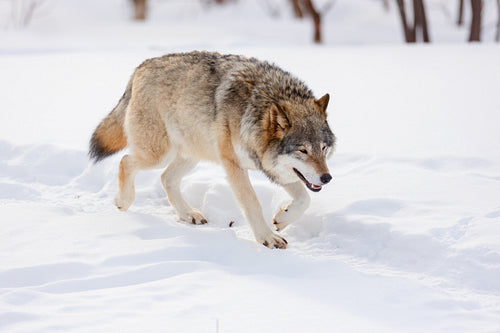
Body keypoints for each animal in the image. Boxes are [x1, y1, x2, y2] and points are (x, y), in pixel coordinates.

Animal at [89, 50, 336, 248]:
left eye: (323, 148)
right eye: (303, 150)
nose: (327, 178)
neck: (255, 109)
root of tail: (141, 66)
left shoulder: (273, 168)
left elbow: (305, 199)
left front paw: (282, 218)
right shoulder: (233, 165)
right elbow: (253, 204)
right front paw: (266, 238)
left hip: (191, 154)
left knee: (165, 178)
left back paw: (188, 214)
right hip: (159, 154)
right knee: (126, 161)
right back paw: (123, 201)